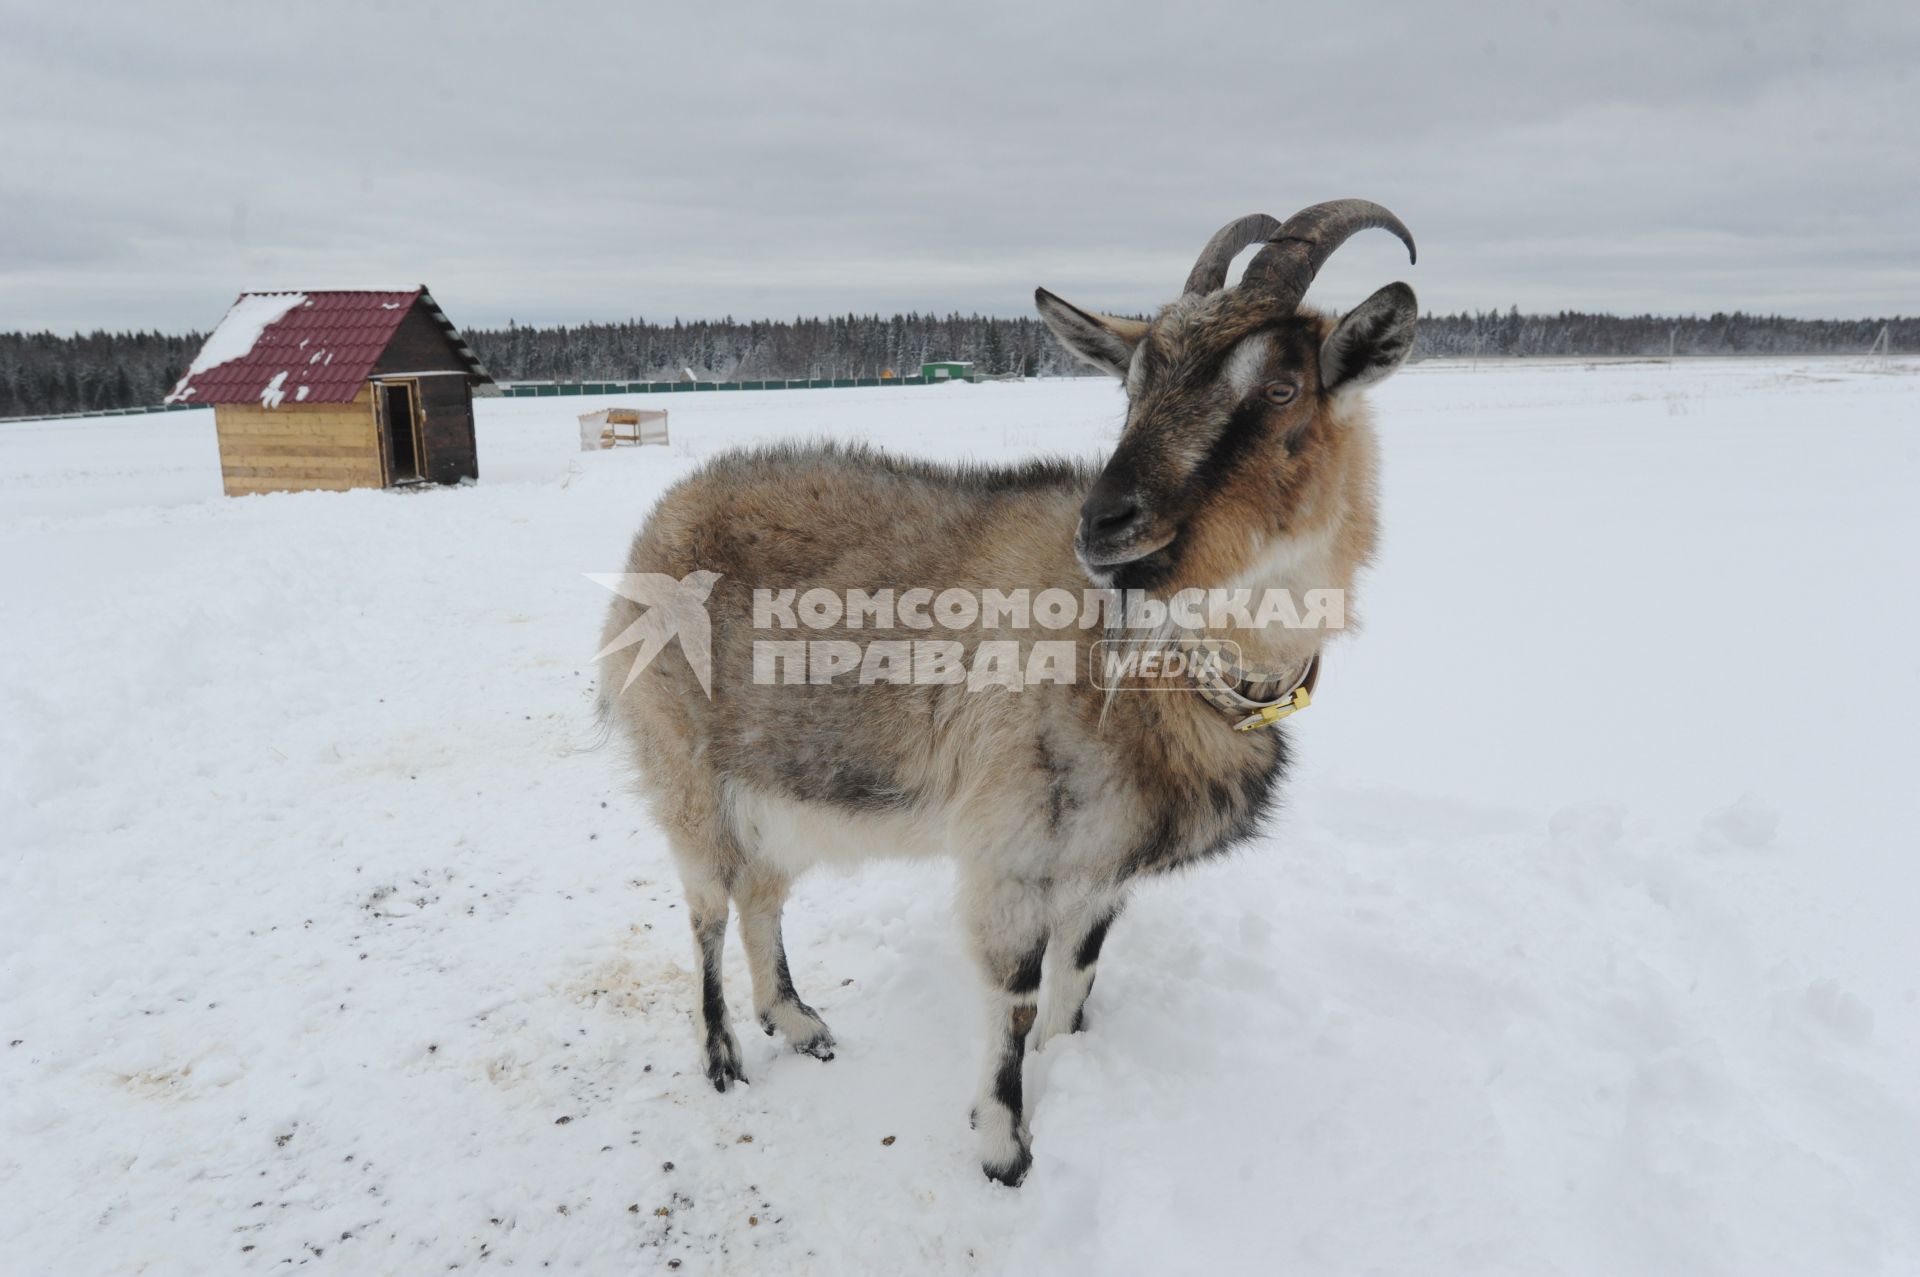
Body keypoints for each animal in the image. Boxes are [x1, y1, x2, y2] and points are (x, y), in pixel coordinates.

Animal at [599, 199, 1428, 1182]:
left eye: (1280, 389)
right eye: (1132, 385)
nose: (1105, 523)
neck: (1146, 660)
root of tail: (663, 514)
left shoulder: (1103, 867)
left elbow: (1078, 980)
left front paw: (1062, 1065)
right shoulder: (1013, 846)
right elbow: (1017, 994)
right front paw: (1004, 1148)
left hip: (780, 781)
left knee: (763, 894)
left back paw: (798, 1022)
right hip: (687, 774)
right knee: (707, 909)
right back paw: (723, 1055)